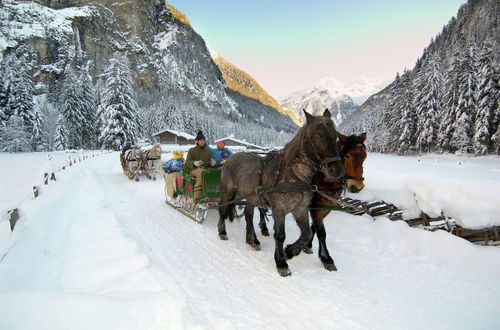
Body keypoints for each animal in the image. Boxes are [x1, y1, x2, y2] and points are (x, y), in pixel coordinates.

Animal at [219, 109, 348, 278]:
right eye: (317, 136)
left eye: (336, 136)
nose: (337, 171)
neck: (293, 175)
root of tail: (232, 156)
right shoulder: (279, 210)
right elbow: (280, 235)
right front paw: (281, 263)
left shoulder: (301, 209)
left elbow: (306, 233)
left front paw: (290, 252)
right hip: (228, 190)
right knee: (222, 208)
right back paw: (222, 231)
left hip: (251, 197)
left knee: (248, 215)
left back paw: (252, 240)